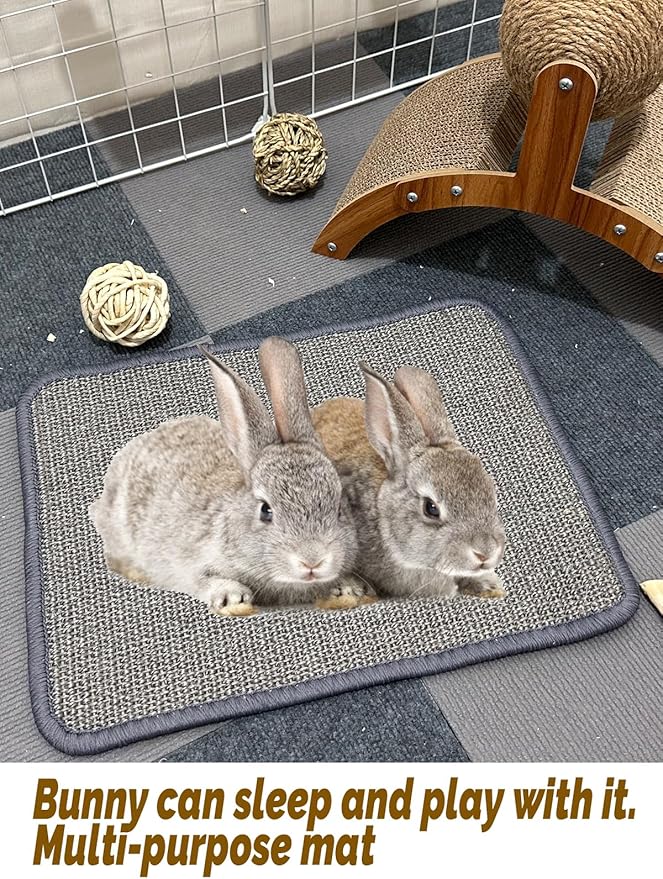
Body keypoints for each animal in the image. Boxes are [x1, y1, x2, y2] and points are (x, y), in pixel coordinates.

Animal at [89, 337, 373, 616]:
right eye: (266, 511)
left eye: (339, 509)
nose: (312, 560)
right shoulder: (193, 562)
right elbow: (202, 580)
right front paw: (232, 596)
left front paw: (347, 587)